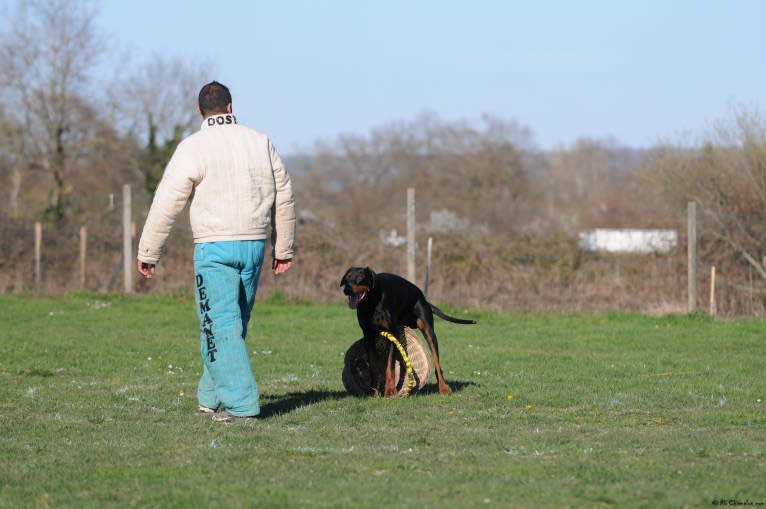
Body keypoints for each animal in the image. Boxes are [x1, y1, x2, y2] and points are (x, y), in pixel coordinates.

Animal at [340, 266, 476, 396]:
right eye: (347, 278)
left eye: (360, 277)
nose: (346, 290)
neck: (371, 303)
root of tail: (423, 297)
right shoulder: (368, 335)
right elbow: (374, 366)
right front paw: (374, 391)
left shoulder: (393, 334)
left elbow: (390, 366)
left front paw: (390, 391)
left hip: (428, 331)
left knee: (437, 365)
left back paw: (443, 389)